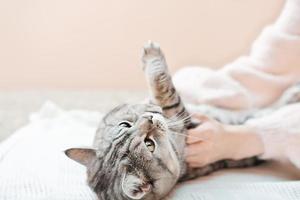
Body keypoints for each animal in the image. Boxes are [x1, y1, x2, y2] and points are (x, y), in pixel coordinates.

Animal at [65, 41, 300, 199]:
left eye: (125, 125)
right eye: (149, 145)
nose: (149, 118)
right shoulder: (185, 122)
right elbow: (167, 93)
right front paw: (153, 58)